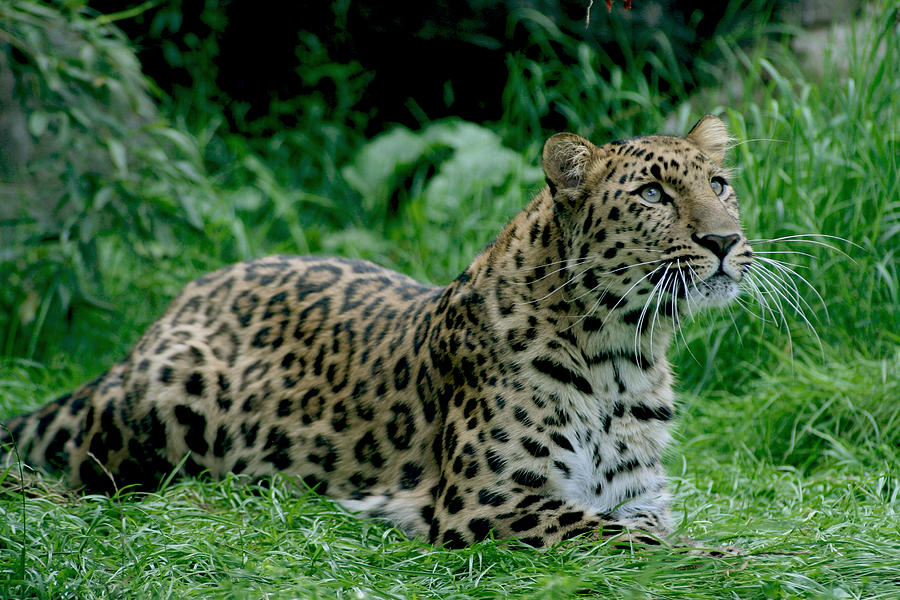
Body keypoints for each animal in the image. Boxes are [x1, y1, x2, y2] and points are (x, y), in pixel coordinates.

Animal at [1, 115, 752, 552]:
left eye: (719, 184)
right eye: (652, 195)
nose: (723, 241)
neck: (626, 351)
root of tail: (175, 304)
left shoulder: (640, 498)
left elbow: (640, 532)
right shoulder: (493, 502)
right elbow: (630, 542)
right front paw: (726, 562)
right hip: (168, 392)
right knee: (90, 474)